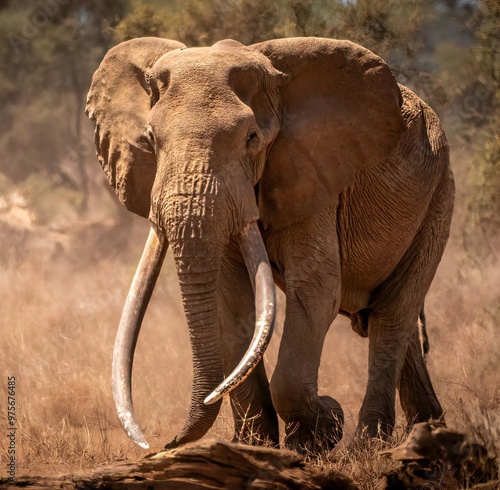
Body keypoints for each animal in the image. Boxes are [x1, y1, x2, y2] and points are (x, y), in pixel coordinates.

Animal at [85, 37, 454, 452]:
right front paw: (254, 445)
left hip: (439, 195)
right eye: (150, 140)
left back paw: (371, 444)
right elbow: (231, 300)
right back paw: (427, 430)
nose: (166, 443)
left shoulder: (314, 174)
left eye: (251, 138)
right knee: (394, 322)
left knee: (392, 313)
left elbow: (315, 289)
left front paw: (321, 430)